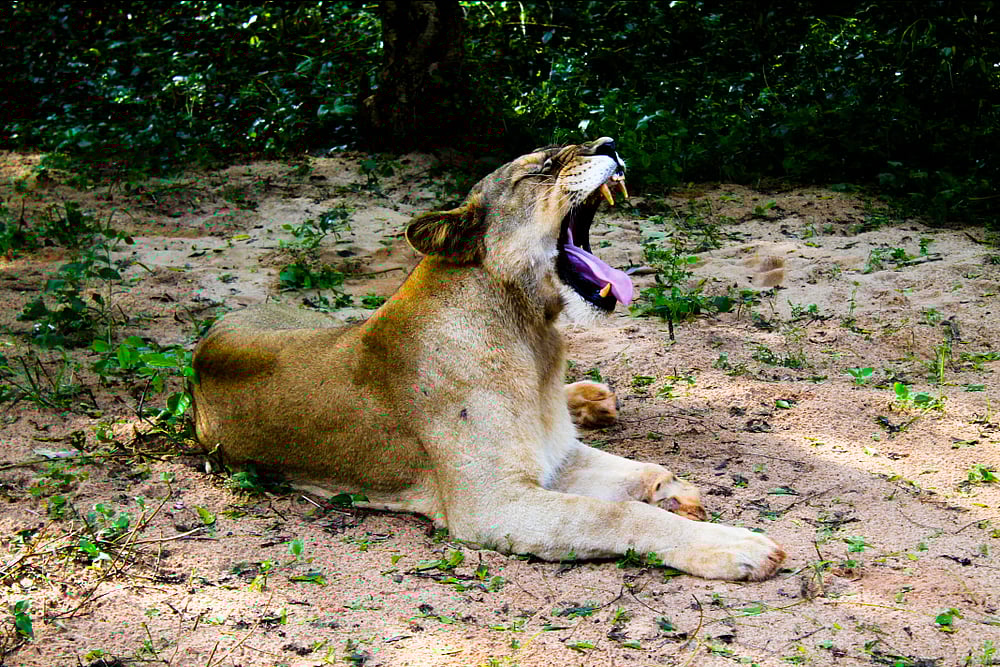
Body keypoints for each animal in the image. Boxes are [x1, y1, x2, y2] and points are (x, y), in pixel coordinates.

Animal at [192, 138, 785, 580]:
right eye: (545, 165)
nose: (611, 143)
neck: (535, 339)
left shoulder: (557, 456)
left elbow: (645, 471)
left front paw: (678, 494)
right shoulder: (494, 506)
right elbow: (616, 513)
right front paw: (737, 546)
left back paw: (592, 398)